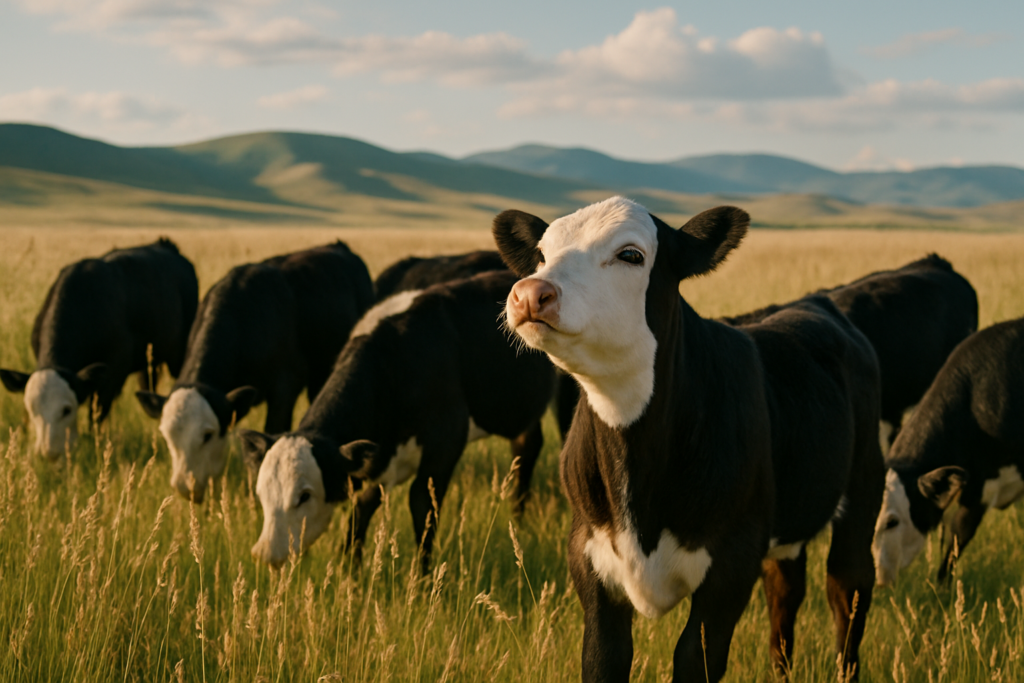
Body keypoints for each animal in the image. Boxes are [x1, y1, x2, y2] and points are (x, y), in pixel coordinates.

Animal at [1, 239, 197, 460]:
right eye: (32, 409)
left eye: (66, 410)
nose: (49, 453)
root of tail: (166, 245)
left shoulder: (113, 373)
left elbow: (96, 416)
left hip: (178, 355)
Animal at [237, 270, 556, 571]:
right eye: (261, 493)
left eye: (304, 495)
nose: (265, 553)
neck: (394, 362)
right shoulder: (382, 457)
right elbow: (363, 505)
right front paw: (350, 571)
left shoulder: (447, 439)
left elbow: (422, 504)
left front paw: (423, 579)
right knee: (526, 448)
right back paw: (518, 516)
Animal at [494, 196, 884, 682]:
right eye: (542, 255)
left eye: (631, 254)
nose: (531, 293)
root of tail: (818, 304)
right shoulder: (588, 557)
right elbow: (603, 658)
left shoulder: (731, 565)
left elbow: (693, 659)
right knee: (785, 591)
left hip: (864, 487)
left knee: (847, 590)